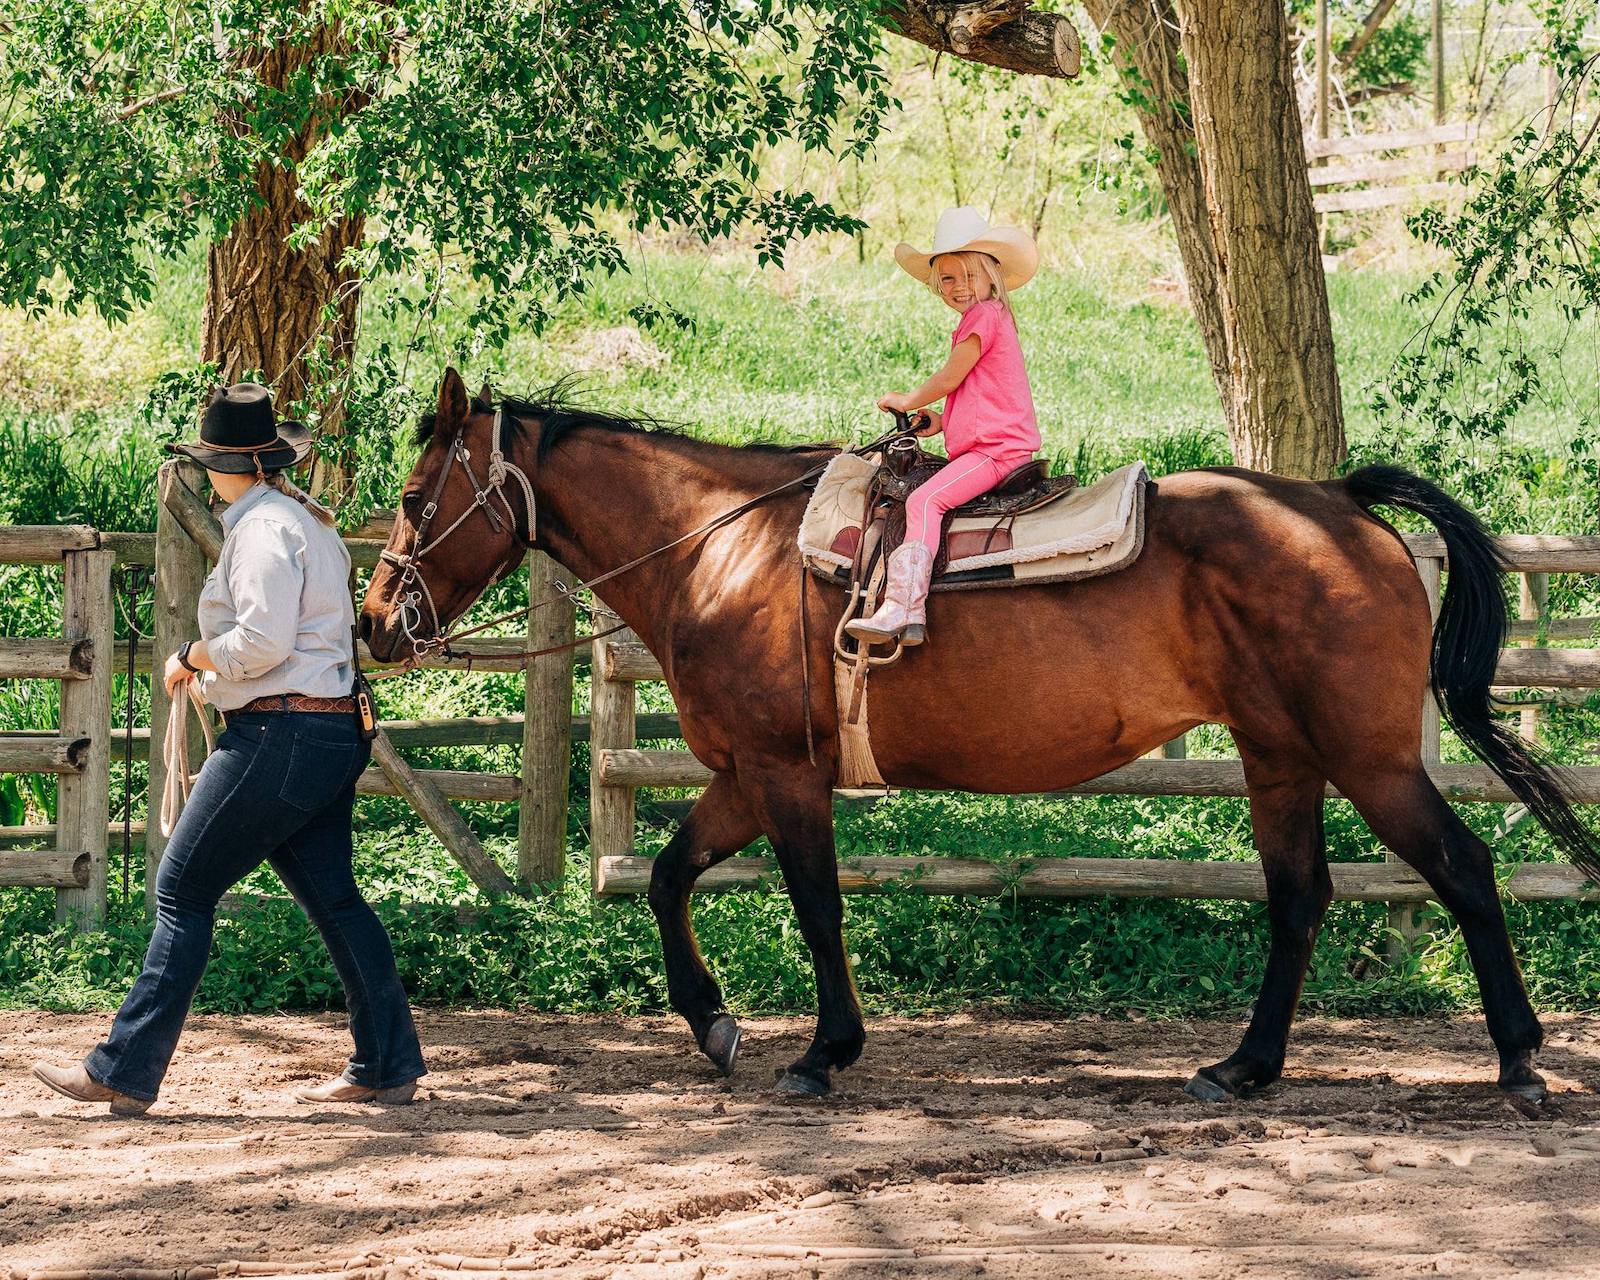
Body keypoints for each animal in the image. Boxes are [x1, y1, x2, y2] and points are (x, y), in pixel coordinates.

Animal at [363, 368, 1600, 1100]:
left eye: (419, 498)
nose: (376, 619)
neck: (722, 548)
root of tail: (1340, 505)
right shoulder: (742, 776)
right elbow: (668, 875)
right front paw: (714, 1024)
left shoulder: (784, 776)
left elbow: (816, 907)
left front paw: (823, 1049)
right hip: (1280, 761)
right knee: (1300, 897)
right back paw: (1243, 1065)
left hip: (1371, 761)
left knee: (1464, 868)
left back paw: (1518, 1059)